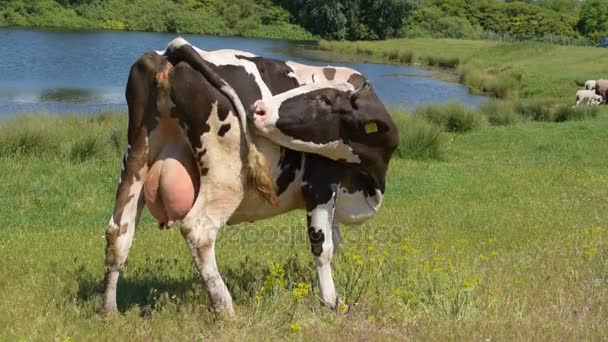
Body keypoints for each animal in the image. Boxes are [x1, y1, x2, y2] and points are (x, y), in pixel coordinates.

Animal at [101, 36, 400, 316]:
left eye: (324, 99)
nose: (258, 108)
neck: (369, 180)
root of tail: (172, 52)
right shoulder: (320, 184)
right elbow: (323, 246)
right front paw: (331, 302)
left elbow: (335, 242)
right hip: (225, 178)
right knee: (198, 231)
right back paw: (224, 307)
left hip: (137, 157)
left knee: (119, 231)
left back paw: (109, 310)